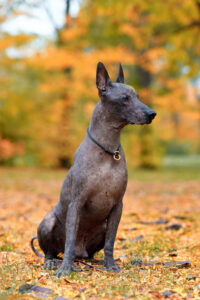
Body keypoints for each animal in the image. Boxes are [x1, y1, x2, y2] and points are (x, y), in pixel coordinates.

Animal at [31, 62, 156, 278]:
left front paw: (111, 266)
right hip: (48, 222)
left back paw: (95, 261)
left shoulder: (117, 206)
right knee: (53, 251)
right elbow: (70, 241)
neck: (108, 150)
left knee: (90, 253)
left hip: (102, 227)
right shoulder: (76, 203)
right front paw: (65, 269)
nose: (152, 114)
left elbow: (110, 243)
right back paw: (54, 262)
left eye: (138, 96)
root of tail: (82, 254)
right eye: (125, 98)